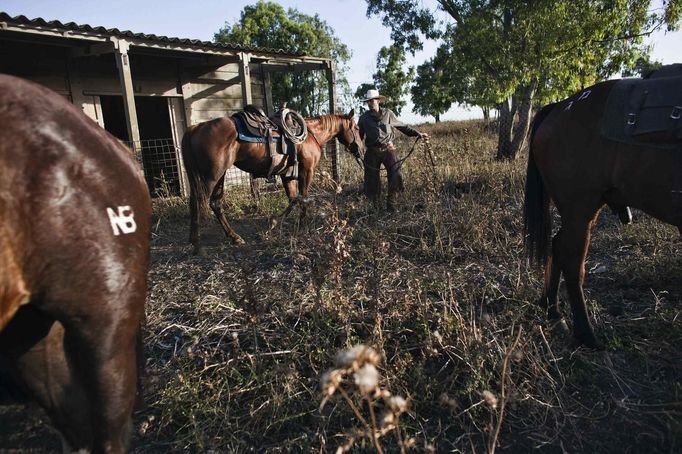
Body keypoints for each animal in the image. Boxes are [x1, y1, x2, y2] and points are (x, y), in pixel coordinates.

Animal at [181, 108, 362, 254]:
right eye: (357, 128)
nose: (361, 150)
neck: (311, 135)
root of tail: (194, 128)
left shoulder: (286, 175)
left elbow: (293, 199)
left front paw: (274, 224)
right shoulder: (306, 172)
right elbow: (303, 198)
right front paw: (302, 226)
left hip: (219, 175)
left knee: (213, 203)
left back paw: (233, 237)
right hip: (212, 176)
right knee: (199, 202)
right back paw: (197, 244)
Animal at [524, 65, 676, 348]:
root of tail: (561, 106)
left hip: (586, 209)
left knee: (558, 245)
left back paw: (554, 311)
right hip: (579, 208)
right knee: (573, 260)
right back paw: (585, 334)